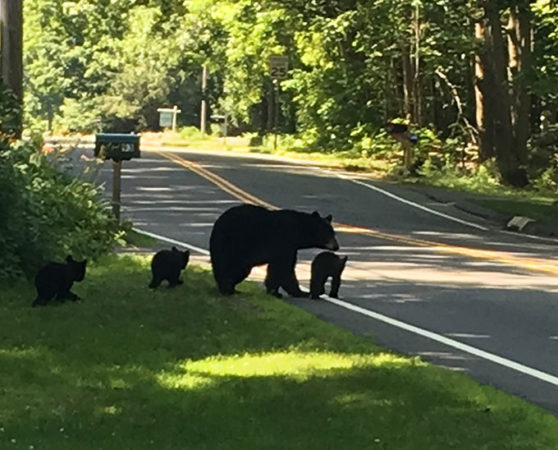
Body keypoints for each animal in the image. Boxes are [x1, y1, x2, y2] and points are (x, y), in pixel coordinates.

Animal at [211, 205, 340, 298]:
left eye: (333, 233)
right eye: (327, 233)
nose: (336, 246)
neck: (298, 232)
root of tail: (217, 226)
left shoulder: (290, 246)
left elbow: (281, 268)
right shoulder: (284, 242)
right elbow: (283, 267)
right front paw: (285, 292)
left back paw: (231, 289)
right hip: (234, 245)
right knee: (233, 268)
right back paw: (227, 289)